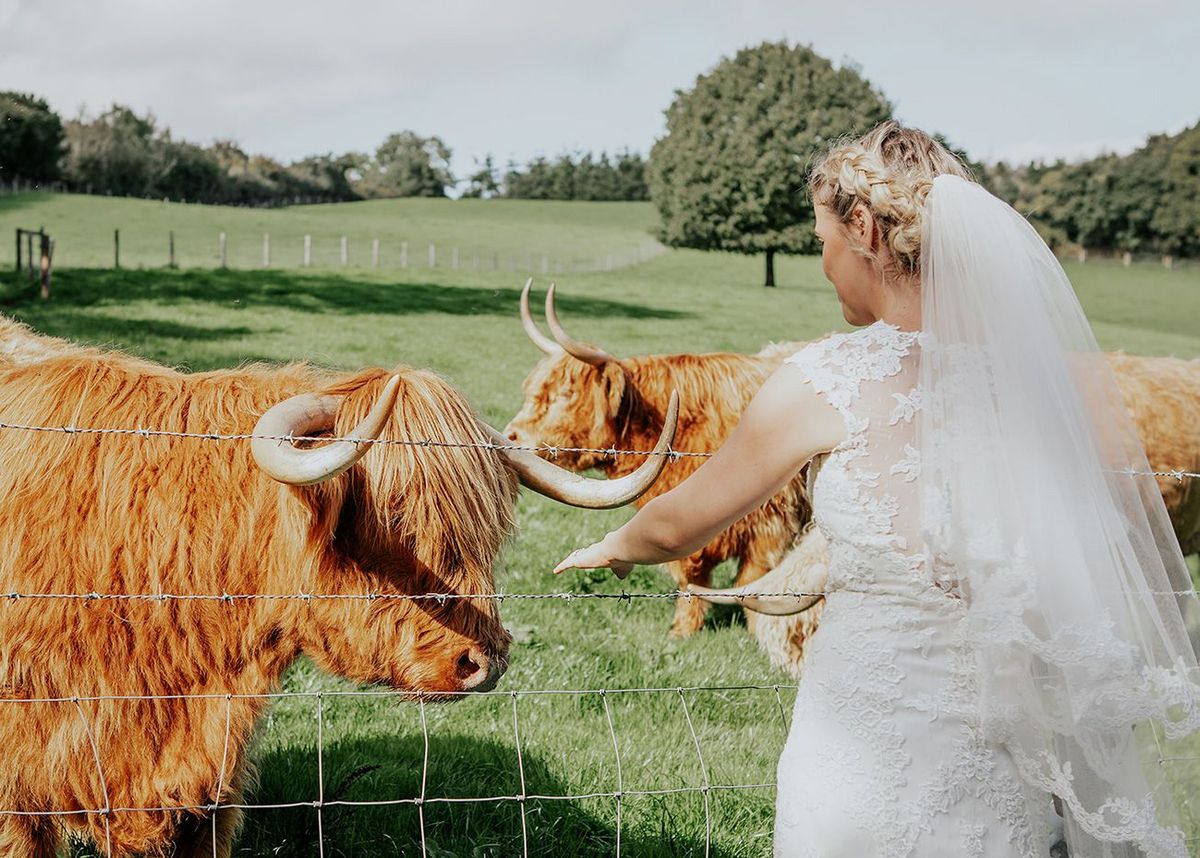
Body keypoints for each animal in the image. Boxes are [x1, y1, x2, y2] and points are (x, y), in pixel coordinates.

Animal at [504, 280, 809, 638]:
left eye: (567, 394)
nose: (512, 435)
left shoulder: (769, 528)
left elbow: (751, 584)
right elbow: (691, 580)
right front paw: (682, 631)